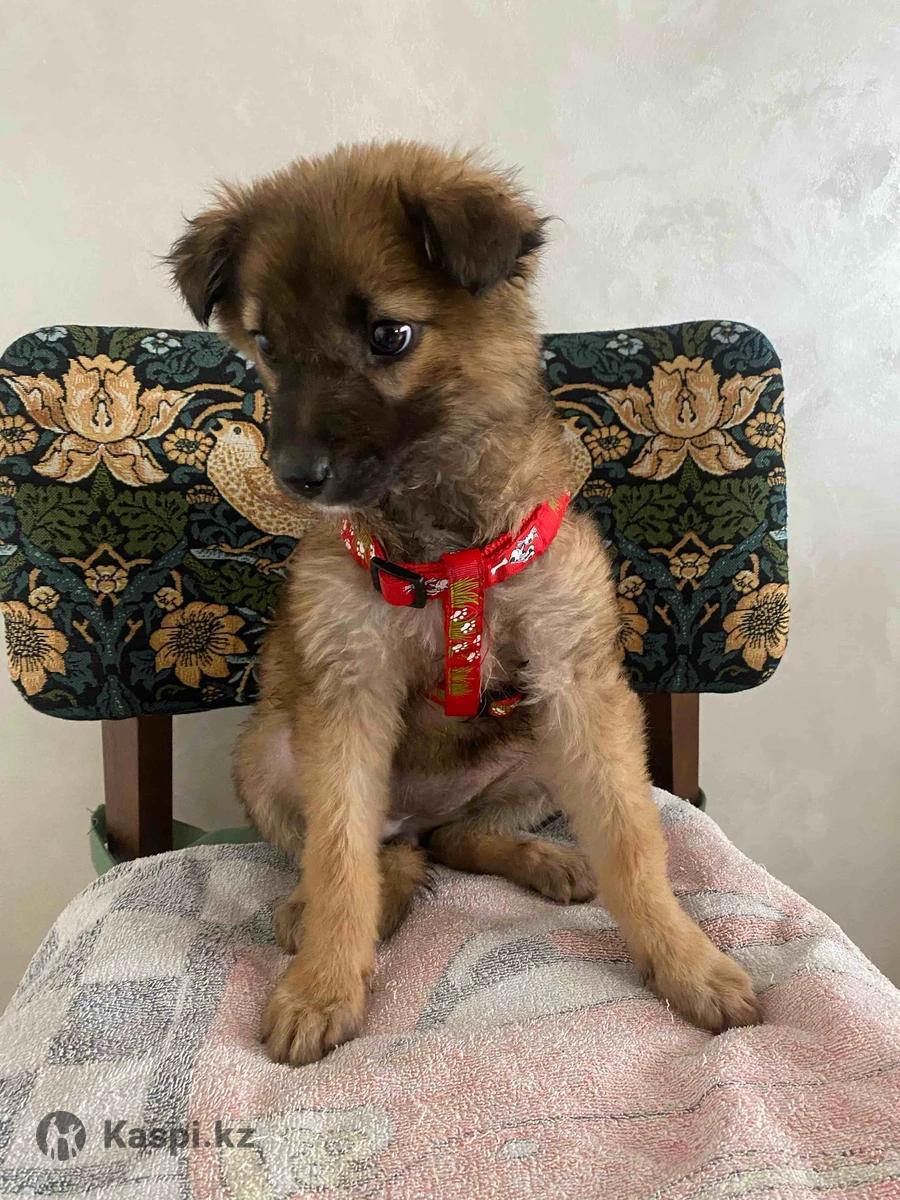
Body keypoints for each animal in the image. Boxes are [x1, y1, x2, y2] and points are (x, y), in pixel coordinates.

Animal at [170, 142, 760, 1066]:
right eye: (265, 343)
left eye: (390, 334)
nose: (295, 476)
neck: (447, 553)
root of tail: (416, 811)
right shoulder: (348, 698)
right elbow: (337, 860)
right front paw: (323, 986)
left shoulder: (580, 687)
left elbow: (632, 842)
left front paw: (686, 962)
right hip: (268, 751)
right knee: (372, 853)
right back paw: (335, 906)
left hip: (537, 744)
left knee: (454, 837)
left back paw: (544, 858)